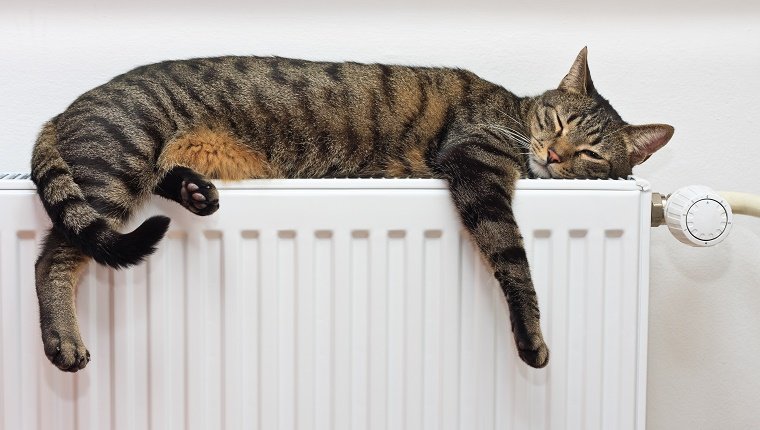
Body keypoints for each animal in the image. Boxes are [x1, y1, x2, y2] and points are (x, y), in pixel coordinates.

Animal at [29, 46, 672, 370]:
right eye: (558, 120)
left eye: (591, 152)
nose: (553, 154)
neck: (515, 116)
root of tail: (62, 111)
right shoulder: (477, 168)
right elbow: (514, 261)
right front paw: (532, 339)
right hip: (116, 168)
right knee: (52, 258)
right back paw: (63, 343)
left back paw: (193, 191)